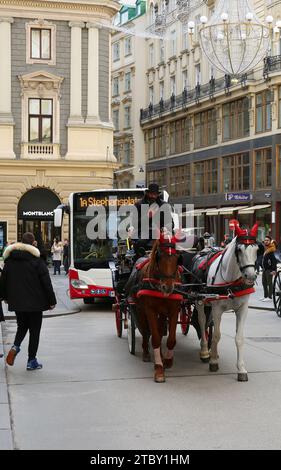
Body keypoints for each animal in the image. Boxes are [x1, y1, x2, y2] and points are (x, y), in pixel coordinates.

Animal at [133, 231, 182, 382]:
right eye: (159, 256)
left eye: (177, 257)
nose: (168, 287)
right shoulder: (150, 310)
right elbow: (154, 338)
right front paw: (159, 369)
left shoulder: (173, 310)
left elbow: (170, 339)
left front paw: (167, 361)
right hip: (140, 310)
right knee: (145, 331)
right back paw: (146, 353)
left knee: (159, 331)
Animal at [196, 223, 258, 382]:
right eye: (239, 250)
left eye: (257, 249)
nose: (251, 276)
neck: (231, 281)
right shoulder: (217, 309)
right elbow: (217, 335)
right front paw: (213, 362)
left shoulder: (242, 309)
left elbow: (239, 338)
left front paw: (241, 369)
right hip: (200, 302)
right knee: (202, 322)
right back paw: (205, 351)